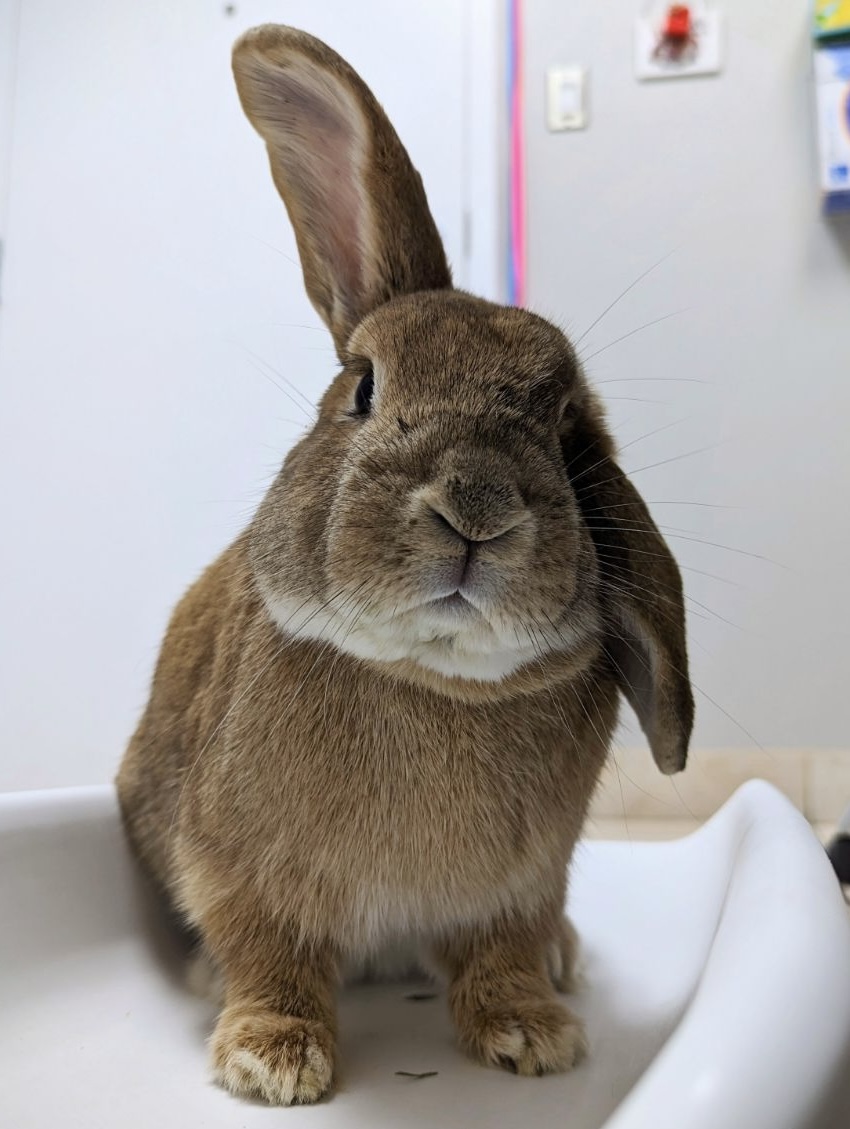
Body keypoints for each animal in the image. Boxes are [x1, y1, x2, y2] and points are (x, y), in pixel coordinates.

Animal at [116, 23, 693, 1106]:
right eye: (362, 387)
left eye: (565, 427)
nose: (476, 509)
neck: (432, 675)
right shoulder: (241, 870)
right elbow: (272, 955)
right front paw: (271, 1061)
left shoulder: (522, 883)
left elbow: (501, 951)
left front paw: (534, 1037)